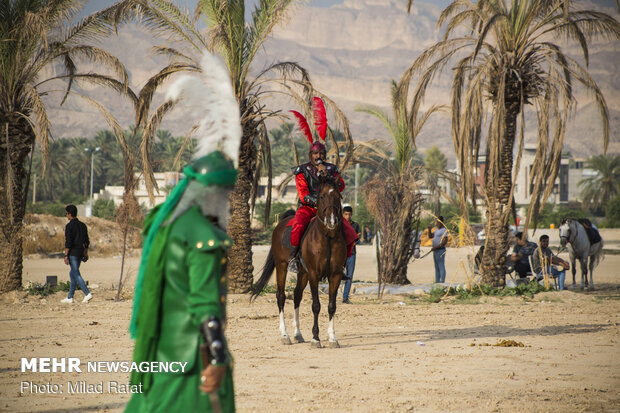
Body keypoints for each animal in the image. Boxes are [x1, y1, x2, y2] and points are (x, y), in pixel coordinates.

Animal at [252, 175, 348, 346]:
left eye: (338, 197)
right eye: (321, 196)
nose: (331, 221)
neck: (327, 238)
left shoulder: (335, 275)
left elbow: (332, 306)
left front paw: (332, 338)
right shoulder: (314, 275)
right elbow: (316, 305)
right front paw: (316, 338)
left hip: (302, 273)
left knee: (297, 295)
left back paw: (297, 333)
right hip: (282, 267)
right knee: (281, 296)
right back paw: (285, 335)